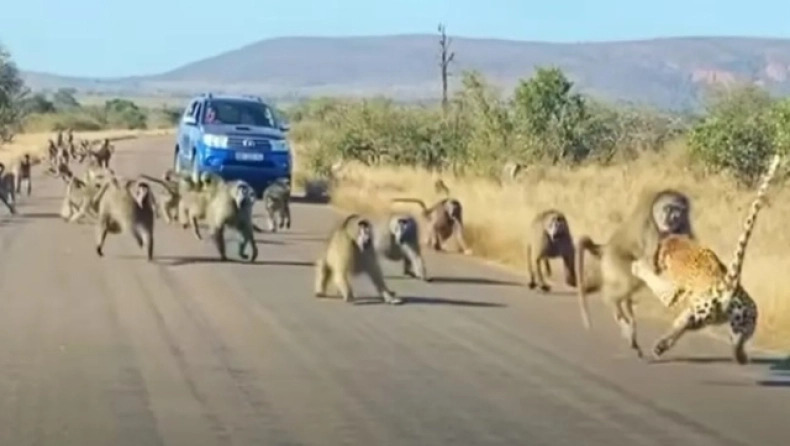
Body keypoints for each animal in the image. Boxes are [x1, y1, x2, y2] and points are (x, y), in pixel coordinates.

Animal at [636, 155, 784, 364]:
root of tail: (728, 285)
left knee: (682, 323)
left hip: (699, 311)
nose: (670, 216)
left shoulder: (672, 291)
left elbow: (656, 283)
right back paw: (740, 356)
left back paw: (659, 347)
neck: (678, 240)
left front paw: (637, 266)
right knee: (737, 340)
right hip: (747, 317)